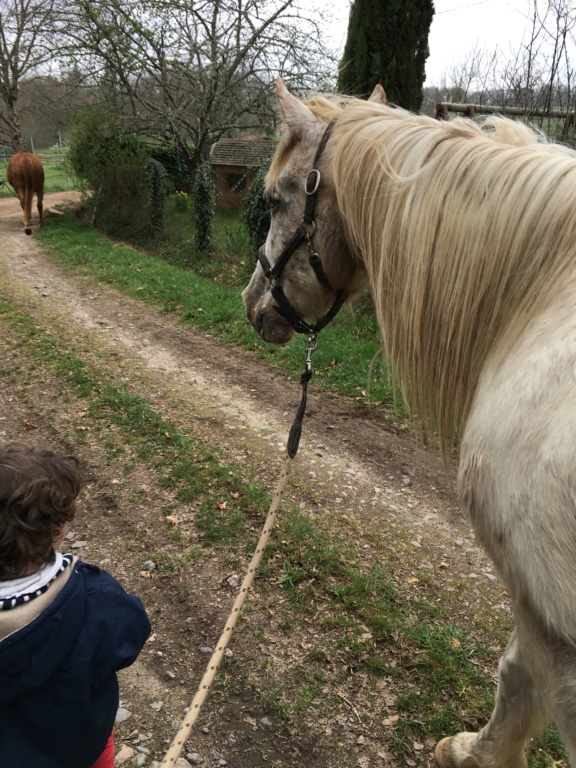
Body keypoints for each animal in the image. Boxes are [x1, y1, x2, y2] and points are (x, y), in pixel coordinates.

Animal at [243, 76, 576, 768]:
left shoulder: (542, 608)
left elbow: (516, 675)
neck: (544, 296)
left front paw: (474, 753)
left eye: (274, 198)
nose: (252, 302)